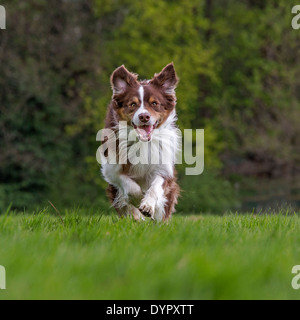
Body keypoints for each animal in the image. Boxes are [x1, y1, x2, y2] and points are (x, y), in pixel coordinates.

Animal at [101, 63, 180, 221]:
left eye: (154, 103)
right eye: (132, 104)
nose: (144, 116)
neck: (142, 141)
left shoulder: (163, 166)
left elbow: (155, 187)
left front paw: (148, 206)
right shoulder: (110, 168)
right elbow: (130, 187)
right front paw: (138, 200)